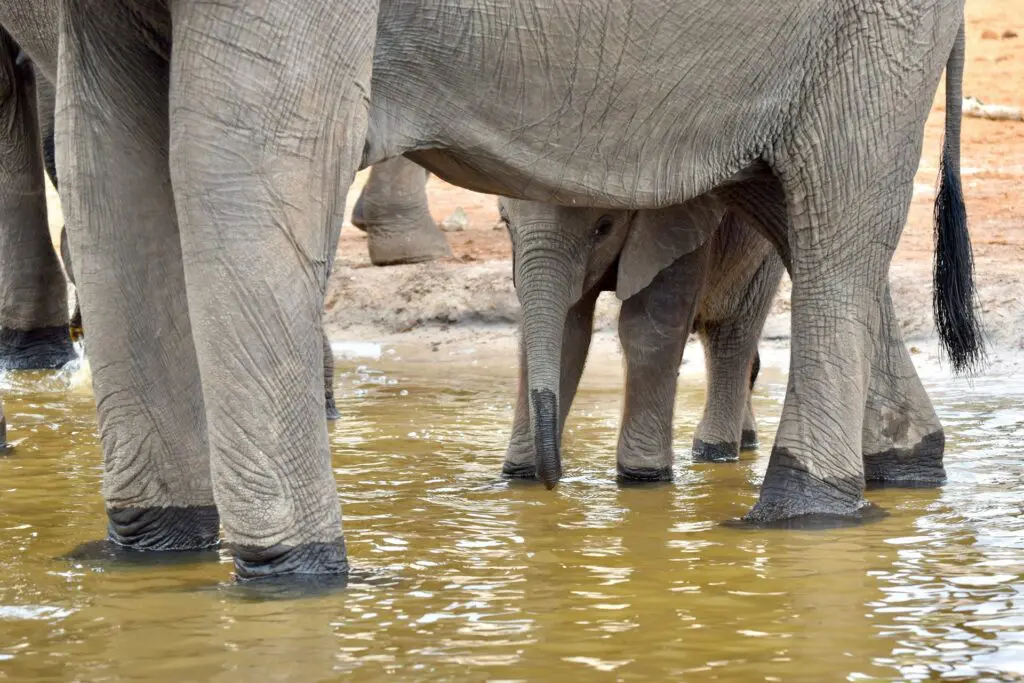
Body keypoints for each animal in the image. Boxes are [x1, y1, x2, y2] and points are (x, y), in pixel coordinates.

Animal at [44, 0, 978, 580]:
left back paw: (800, 509)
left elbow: (244, 170)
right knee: (788, 202)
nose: (549, 486)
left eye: (604, 229)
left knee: (838, 208)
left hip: (873, 27)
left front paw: (291, 574)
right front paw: (152, 552)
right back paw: (904, 459)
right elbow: (105, 175)